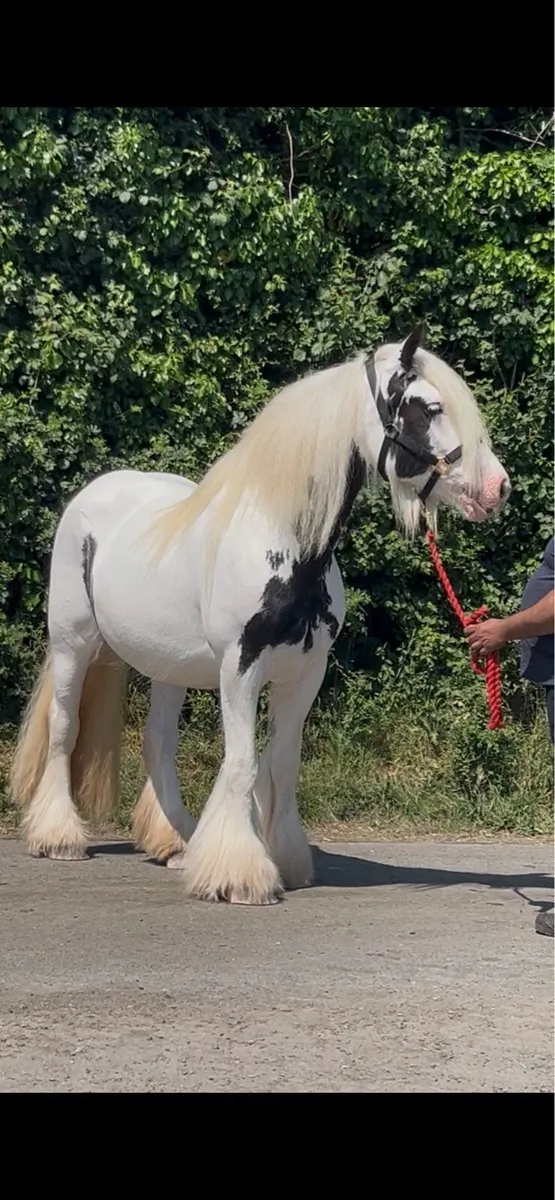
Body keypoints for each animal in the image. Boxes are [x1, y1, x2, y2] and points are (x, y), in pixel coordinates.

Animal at [10, 324, 511, 905]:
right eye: (428, 407)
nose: (498, 488)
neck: (286, 542)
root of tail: (94, 493)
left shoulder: (305, 674)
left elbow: (282, 764)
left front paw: (282, 859)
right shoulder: (241, 668)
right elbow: (243, 763)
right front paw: (239, 874)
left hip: (167, 667)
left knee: (158, 743)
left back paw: (175, 843)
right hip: (74, 643)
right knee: (64, 727)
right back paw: (59, 836)